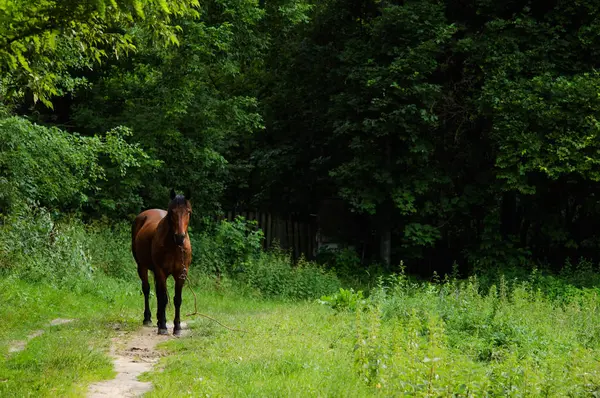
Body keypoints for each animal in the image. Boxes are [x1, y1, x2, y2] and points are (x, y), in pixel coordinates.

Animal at [131, 190, 192, 336]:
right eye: (172, 212)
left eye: (188, 211)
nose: (180, 237)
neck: (174, 246)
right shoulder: (160, 271)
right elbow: (163, 298)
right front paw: (163, 326)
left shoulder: (181, 274)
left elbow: (177, 299)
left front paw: (177, 328)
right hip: (142, 267)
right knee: (147, 289)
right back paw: (148, 319)